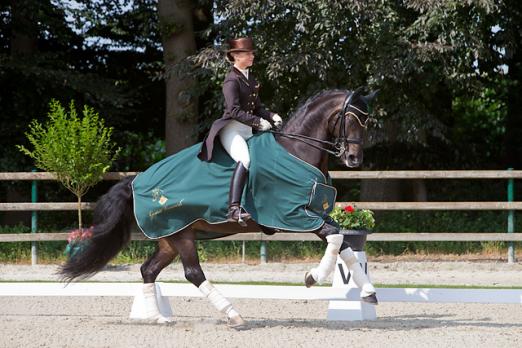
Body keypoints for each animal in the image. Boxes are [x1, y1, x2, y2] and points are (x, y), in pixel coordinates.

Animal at [60, 88, 378, 328]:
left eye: (367, 121)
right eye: (349, 119)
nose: (353, 159)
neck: (296, 152)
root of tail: (135, 182)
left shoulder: (314, 215)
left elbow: (344, 244)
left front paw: (368, 292)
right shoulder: (292, 216)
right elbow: (335, 238)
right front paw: (314, 277)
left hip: (170, 237)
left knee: (148, 270)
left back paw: (159, 318)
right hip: (181, 234)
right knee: (192, 273)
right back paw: (233, 315)